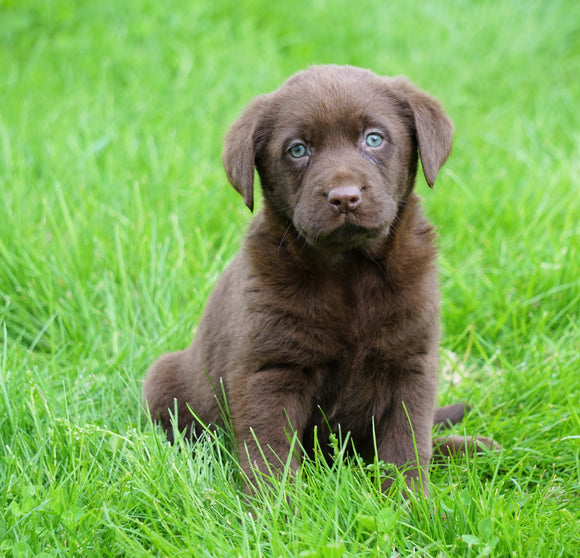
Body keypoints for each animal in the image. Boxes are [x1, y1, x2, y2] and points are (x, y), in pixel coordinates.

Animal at [144, 64, 494, 494]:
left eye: (374, 138)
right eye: (298, 149)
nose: (344, 197)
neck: (350, 270)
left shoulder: (411, 362)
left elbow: (407, 443)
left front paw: (411, 501)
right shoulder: (271, 370)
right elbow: (270, 453)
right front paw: (273, 508)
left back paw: (468, 447)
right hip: (164, 381)